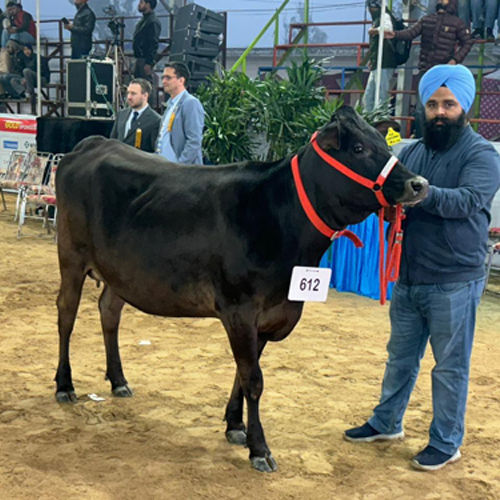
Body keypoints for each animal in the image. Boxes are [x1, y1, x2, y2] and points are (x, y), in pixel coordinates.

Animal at [55, 105, 430, 472]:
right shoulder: (240, 309)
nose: (420, 184)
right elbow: (254, 379)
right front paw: (259, 448)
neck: (283, 219)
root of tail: (94, 143)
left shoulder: (268, 315)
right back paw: (64, 385)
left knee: (108, 311)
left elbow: (242, 372)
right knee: (66, 315)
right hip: (71, 255)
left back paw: (118, 381)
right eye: (359, 149)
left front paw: (235, 426)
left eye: (385, 146)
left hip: (120, 272)